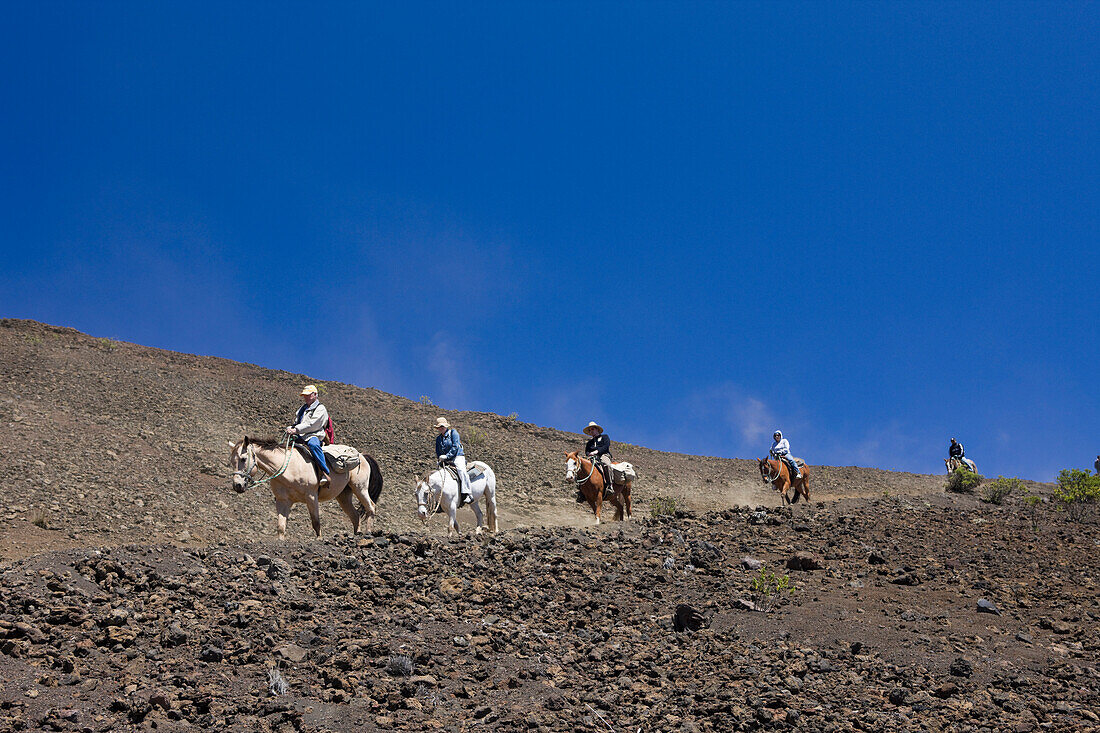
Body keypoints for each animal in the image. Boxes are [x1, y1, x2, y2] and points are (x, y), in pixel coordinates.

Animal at [227, 433, 382, 537]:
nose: (237, 485)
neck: (289, 468)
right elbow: (281, 527)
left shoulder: (311, 496)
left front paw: (319, 540)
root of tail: (362, 456)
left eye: (243, 458)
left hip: (360, 488)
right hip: (344, 495)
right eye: (232, 461)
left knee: (371, 507)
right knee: (355, 516)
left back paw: (368, 533)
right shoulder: (283, 501)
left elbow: (316, 523)